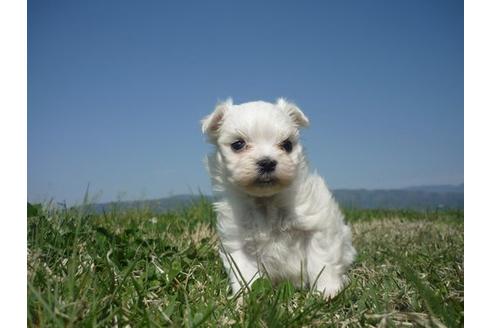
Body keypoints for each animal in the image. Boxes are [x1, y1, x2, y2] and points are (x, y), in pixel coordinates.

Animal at [202, 98, 356, 300]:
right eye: (238, 144)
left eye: (287, 144)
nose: (267, 162)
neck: (267, 201)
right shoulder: (238, 243)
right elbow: (245, 274)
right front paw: (244, 301)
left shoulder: (318, 226)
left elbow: (321, 261)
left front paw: (327, 291)